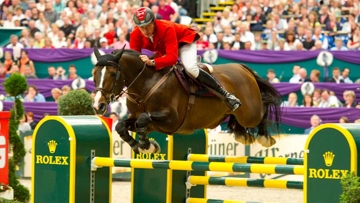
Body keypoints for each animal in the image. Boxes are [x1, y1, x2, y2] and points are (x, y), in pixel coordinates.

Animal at [90, 46, 282, 154]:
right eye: (94, 73)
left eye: (112, 74)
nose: (98, 105)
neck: (146, 83)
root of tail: (243, 68)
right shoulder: (143, 120)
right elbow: (122, 126)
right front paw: (143, 146)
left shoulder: (171, 120)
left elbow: (143, 120)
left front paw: (147, 145)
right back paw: (243, 135)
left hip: (250, 113)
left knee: (262, 111)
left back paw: (264, 138)